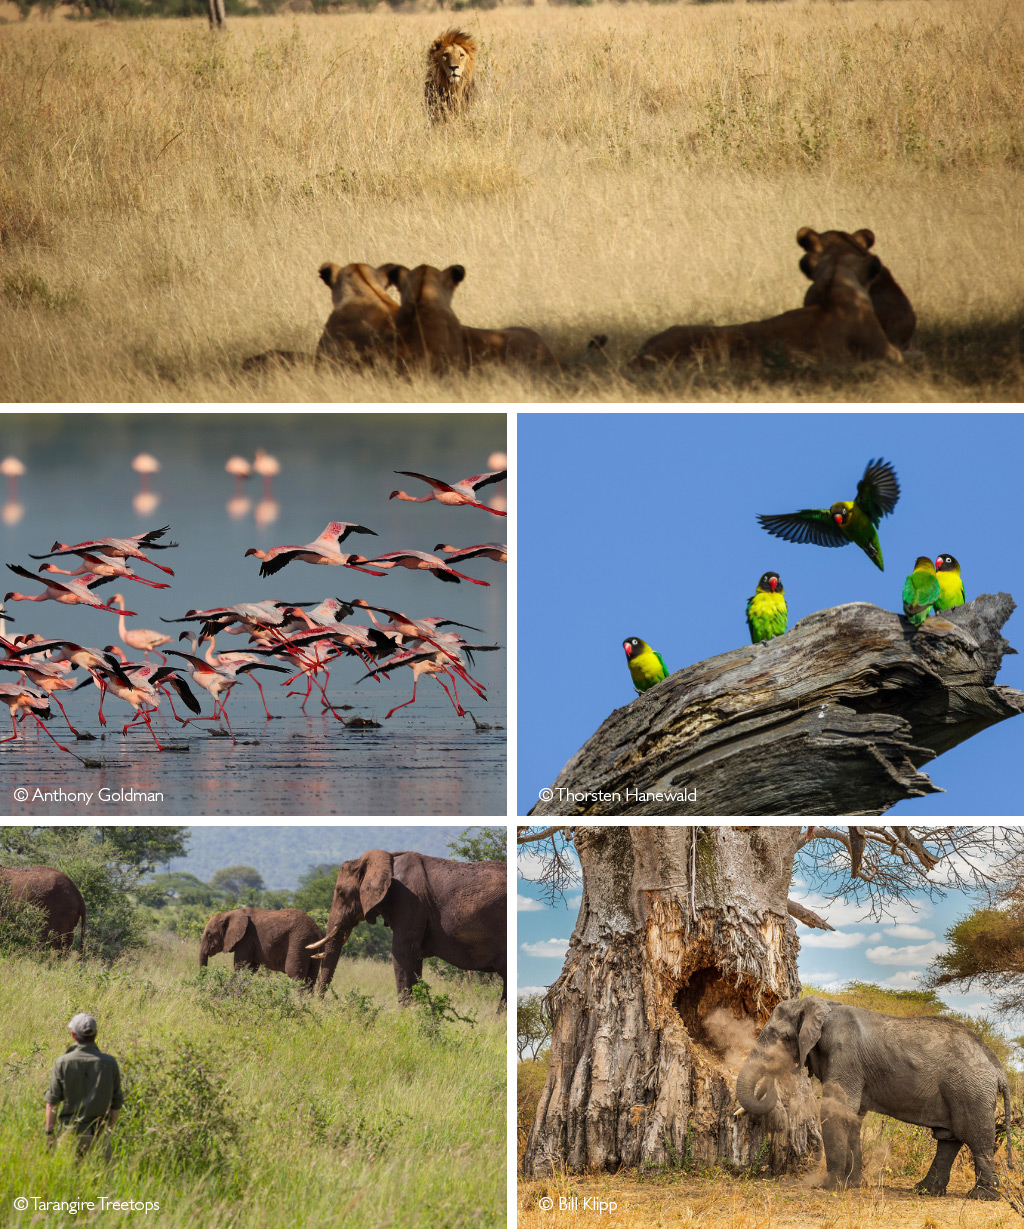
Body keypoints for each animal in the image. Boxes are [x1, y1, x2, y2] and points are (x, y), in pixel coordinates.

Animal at [307, 845, 506, 1007]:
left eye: (341, 893)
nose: (320, 1003)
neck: (388, 859)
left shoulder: (410, 901)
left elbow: (402, 953)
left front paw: (405, 1014)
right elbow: (414, 959)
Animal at [737, 988, 1012, 1199]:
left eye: (782, 1037)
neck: (822, 1007)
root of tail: (998, 1068)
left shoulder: (844, 1056)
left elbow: (836, 1109)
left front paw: (830, 1187)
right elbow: (853, 1117)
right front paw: (854, 1184)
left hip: (971, 1090)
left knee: (975, 1138)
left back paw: (981, 1196)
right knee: (949, 1140)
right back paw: (925, 1191)